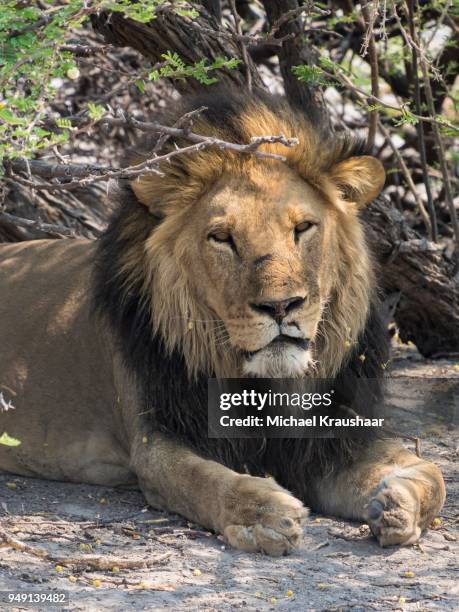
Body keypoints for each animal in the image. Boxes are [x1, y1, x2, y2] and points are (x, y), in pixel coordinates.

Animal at [0, 89, 446, 556]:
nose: (281, 306)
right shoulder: (157, 440)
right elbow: (206, 480)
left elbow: (434, 473)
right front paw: (266, 514)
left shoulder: (329, 437)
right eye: (222, 238)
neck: (269, 387)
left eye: (303, 228)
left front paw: (396, 505)